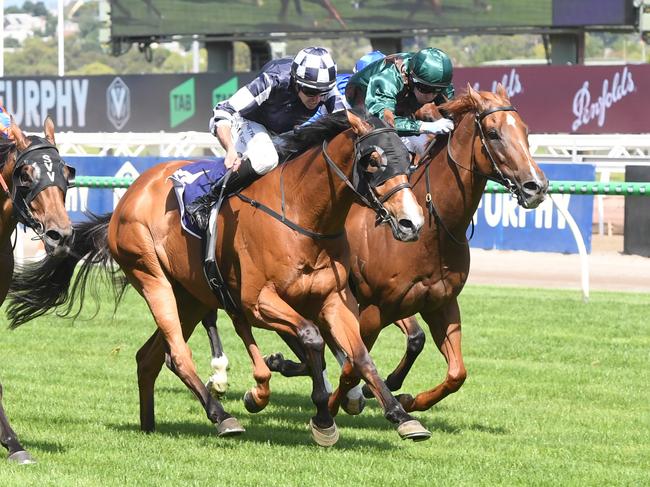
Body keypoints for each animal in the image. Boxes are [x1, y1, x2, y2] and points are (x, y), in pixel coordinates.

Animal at [7, 109, 430, 446]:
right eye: (373, 160)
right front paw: (323, 419)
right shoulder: (257, 302)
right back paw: (221, 416)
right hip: (152, 277)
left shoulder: (333, 300)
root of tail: (132, 193)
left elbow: (360, 356)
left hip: (192, 296)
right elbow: (311, 339)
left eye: (408, 158)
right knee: (176, 354)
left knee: (150, 356)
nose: (412, 222)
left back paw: (150, 424)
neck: (302, 215)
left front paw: (401, 416)